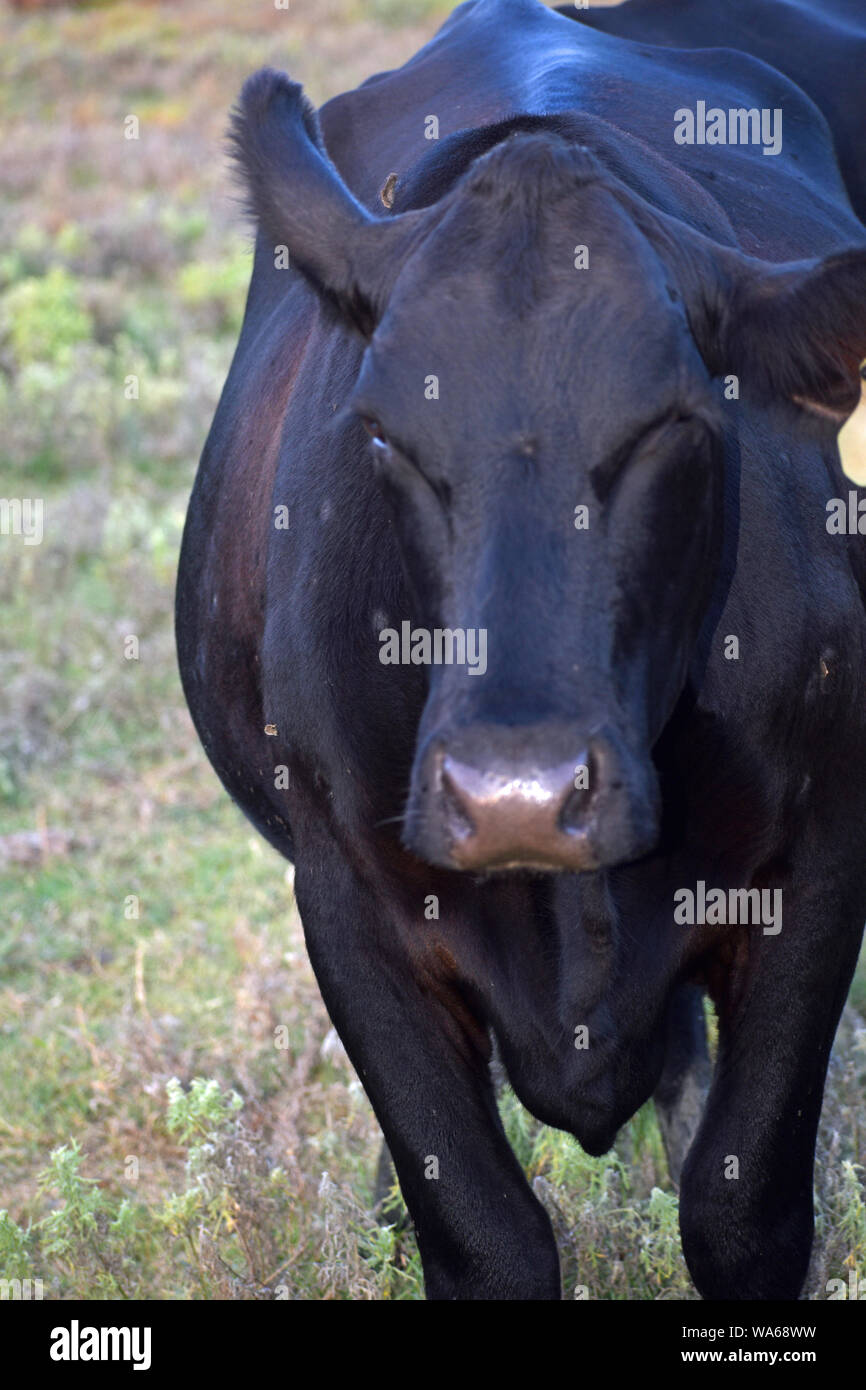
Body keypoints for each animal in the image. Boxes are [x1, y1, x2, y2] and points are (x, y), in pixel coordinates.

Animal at [176, 0, 866, 1300]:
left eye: (672, 424)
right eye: (383, 432)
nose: (516, 796)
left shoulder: (814, 861)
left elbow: (741, 1213)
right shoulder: (346, 899)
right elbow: (486, 1233)